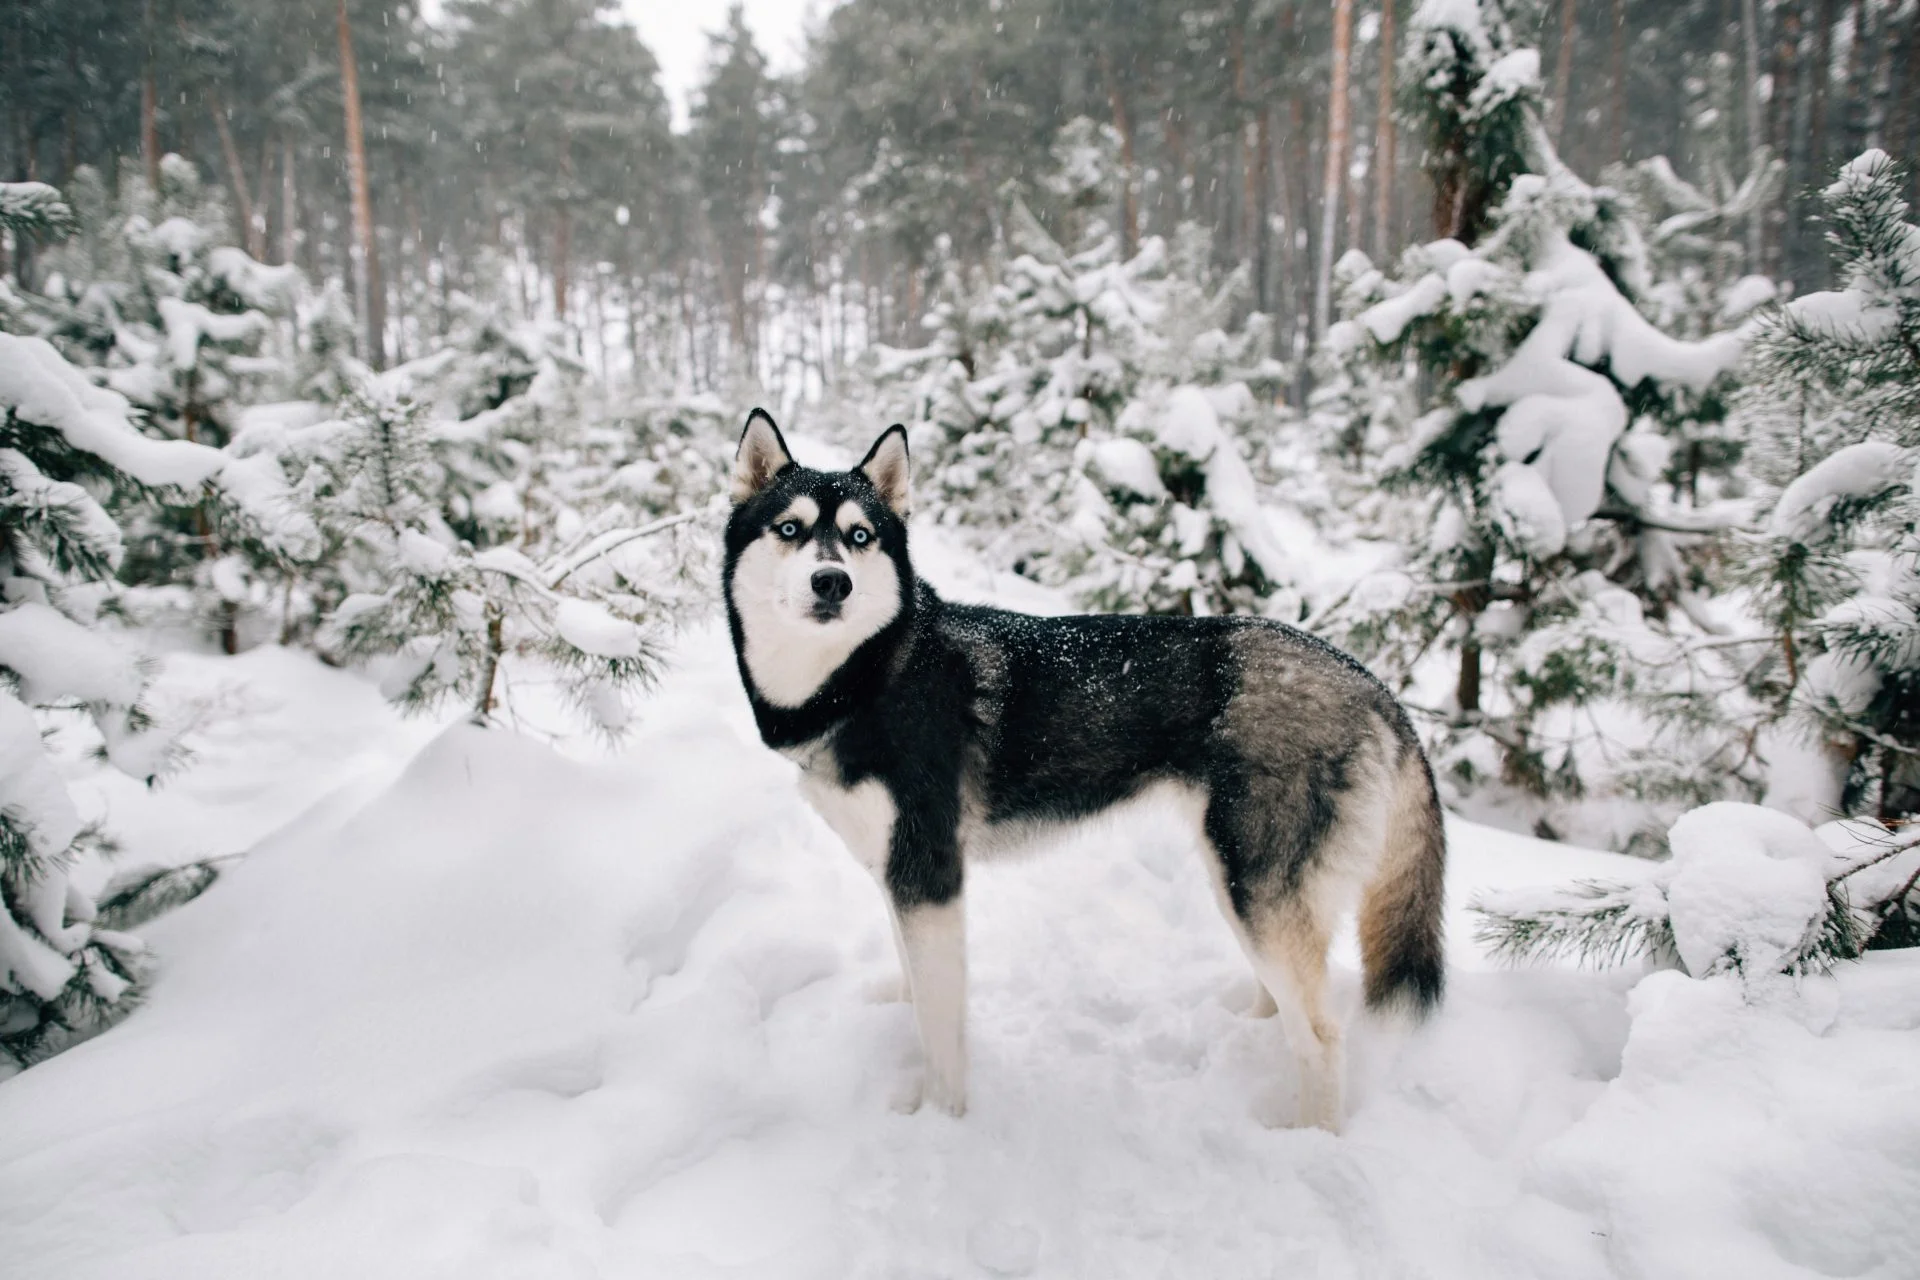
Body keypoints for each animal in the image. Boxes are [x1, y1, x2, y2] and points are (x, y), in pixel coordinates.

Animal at [721, 410, 1443, 1128]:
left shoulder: (930, 876)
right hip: (1243, 884)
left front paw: (940, 1118)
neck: (868, 674)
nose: (832, 581)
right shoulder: (899, 874)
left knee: (1320, 1035)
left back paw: (1306, 1135)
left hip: (1253, 885)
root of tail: (1368, 681)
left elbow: (942, 1028)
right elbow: (913, 984)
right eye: (790, 528)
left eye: (859, 536)